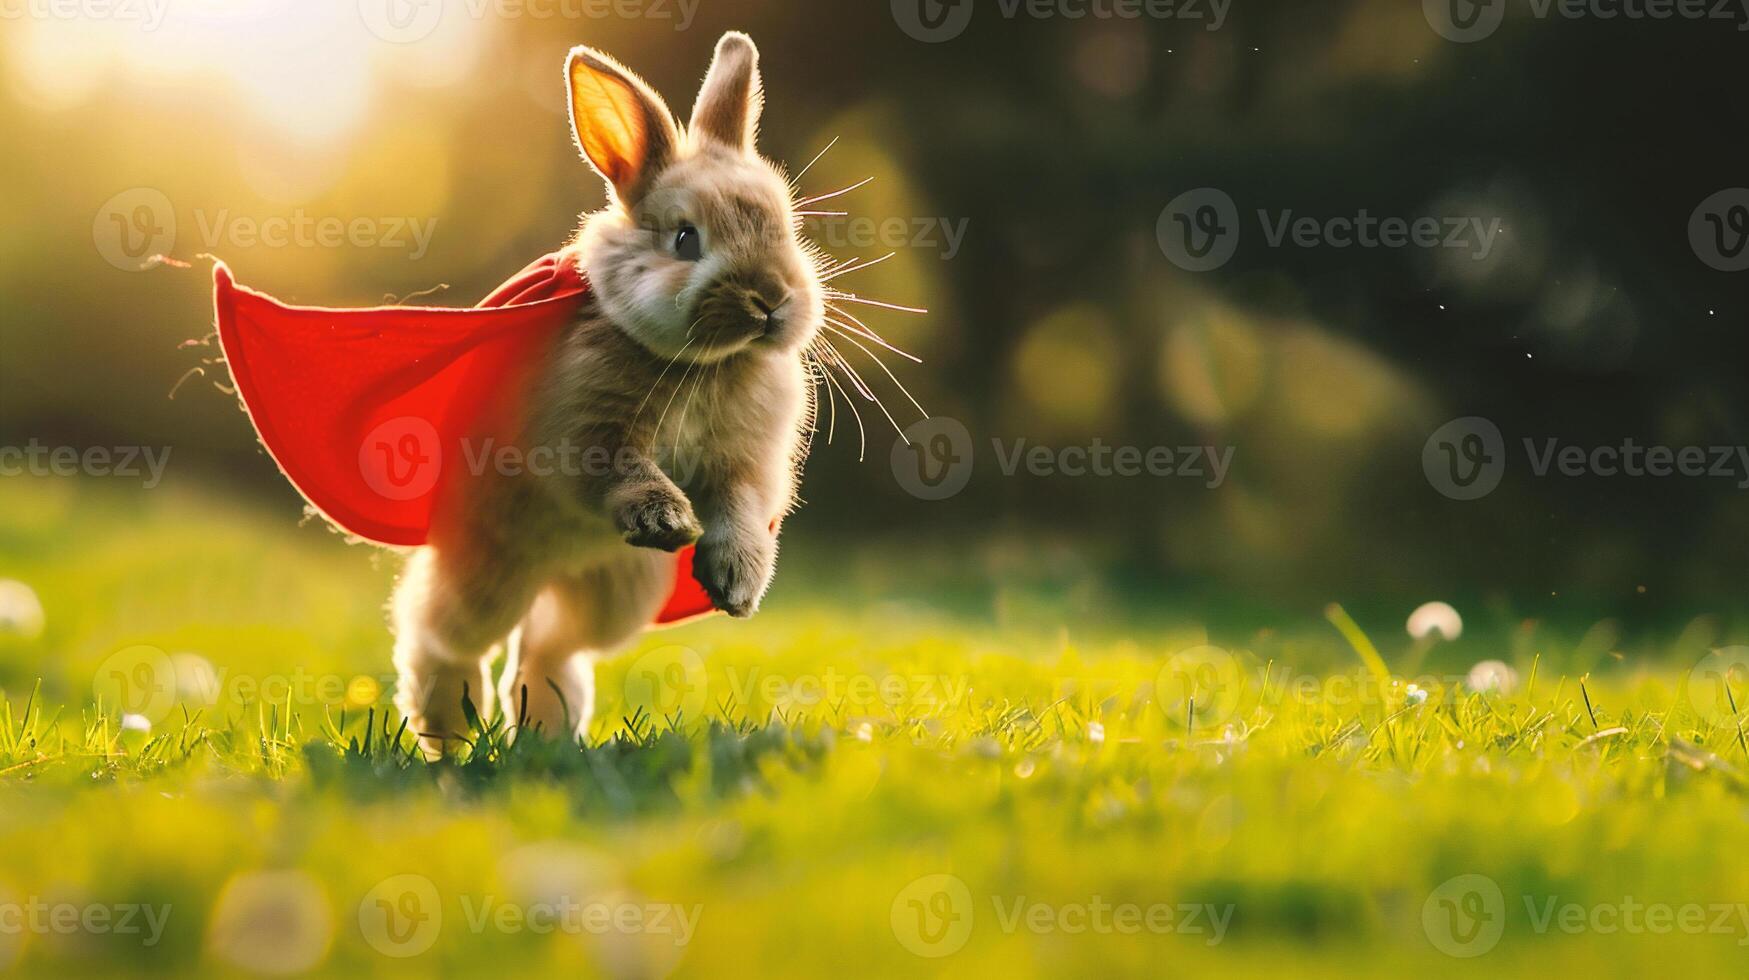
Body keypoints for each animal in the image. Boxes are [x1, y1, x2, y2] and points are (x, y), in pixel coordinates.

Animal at [395, 30, 825, 749]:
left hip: (613, 595)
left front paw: (735, 586)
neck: (699, 364)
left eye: (786, 228)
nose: (770, 299)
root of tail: (551, 573)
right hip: (489, 573)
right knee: (438, 633)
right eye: (685, 237)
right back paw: (449, 730)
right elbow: (619, 472)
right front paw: (667, 521)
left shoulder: (746, 467)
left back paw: (547, 735)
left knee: (550, 648)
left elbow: (740, 509)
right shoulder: (585, 436)